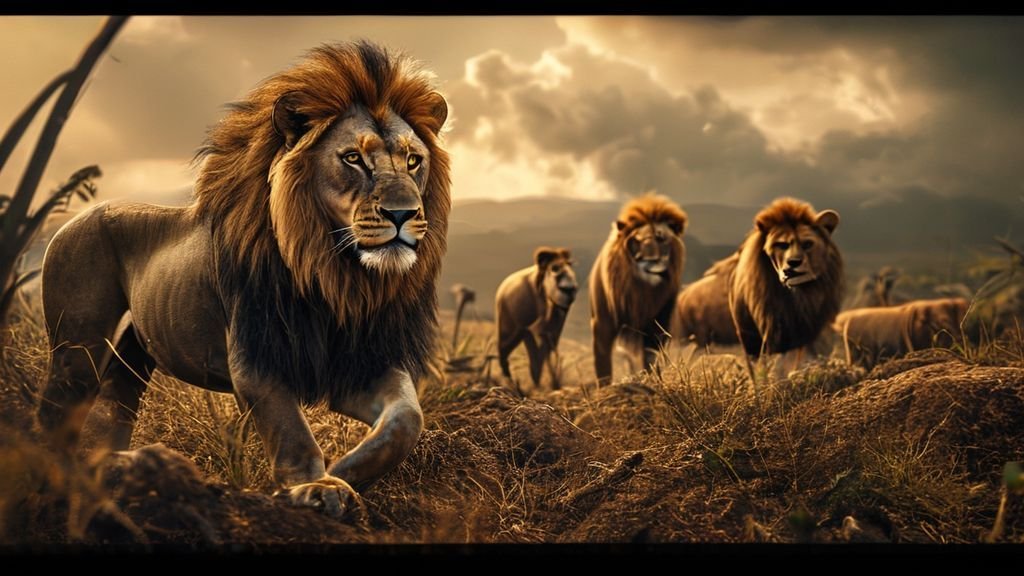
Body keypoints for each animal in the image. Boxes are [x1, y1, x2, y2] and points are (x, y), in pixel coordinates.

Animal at [36, 41, 450, 518]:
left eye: (413, 161)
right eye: (353, 158)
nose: (404, 214)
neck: (337, 277)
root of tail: (77, 218)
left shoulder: (354, 363)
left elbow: (406, 419)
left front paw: (343, 473)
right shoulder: (255, 359)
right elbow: (290, 429)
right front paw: (315, 487)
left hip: (135, 351)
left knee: (117, 401)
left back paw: (117, 469)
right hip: (77, 345)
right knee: (55, 410)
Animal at [495, 247, 578, 389]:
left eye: (569, 265)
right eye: (554, 268)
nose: (569, 289)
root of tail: (502, 288)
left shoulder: (553, 330)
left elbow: (547, 355)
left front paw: (553, 384)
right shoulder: (533, 329)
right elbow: (539, 357)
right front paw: (543, 385)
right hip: (510, 331)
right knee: (503, 355)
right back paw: (512, 385)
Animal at [590, 194, 688, 383]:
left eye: (661, 239)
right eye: (638, 240)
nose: (651, 260)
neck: (642, 290)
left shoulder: (658, 322)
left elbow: (651, 357)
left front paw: (653, 379)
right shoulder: (603, 321)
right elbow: (603, 360)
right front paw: (604, 385)